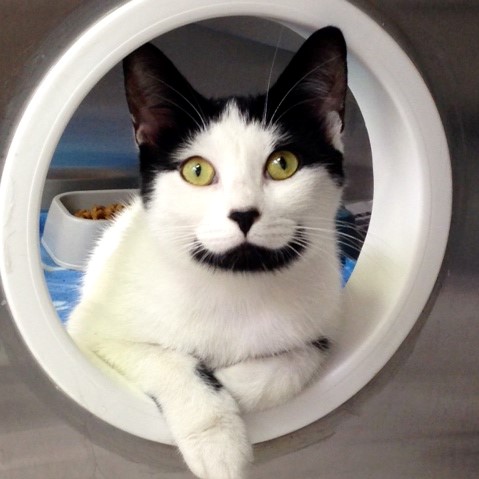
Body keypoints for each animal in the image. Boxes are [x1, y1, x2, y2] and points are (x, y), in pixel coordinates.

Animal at [66, 26, 348, 479]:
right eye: (196, 171)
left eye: (283, 164)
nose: (244, 214)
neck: (237, 286)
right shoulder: (90, 332)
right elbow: (167, 359)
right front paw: (217, 438)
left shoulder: (326, 320)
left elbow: (297, 359)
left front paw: (231, 386)